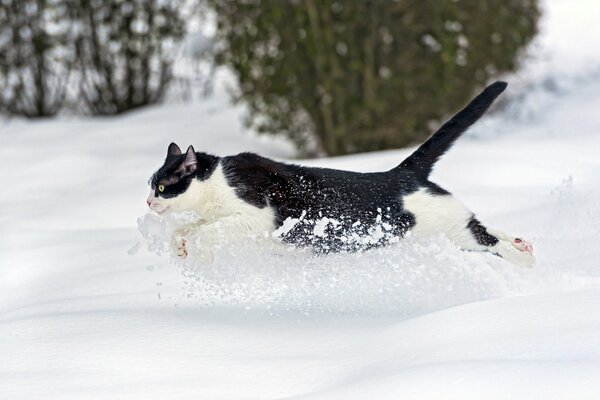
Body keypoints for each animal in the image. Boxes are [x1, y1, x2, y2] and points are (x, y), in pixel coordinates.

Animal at [145, 81, 536, 268]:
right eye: (150, 186)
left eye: (162, 186)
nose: (148, 202)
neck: (215, 183)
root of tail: (401, 173)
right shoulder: (215, 216)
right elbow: (187, 228)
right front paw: (180, 247)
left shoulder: (251, 216)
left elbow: (206, 232)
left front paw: (199, 254)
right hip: (450, 230)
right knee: (486, 227)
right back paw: (523, 244)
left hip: (449, 228)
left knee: (487, 238)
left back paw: (525, 259)